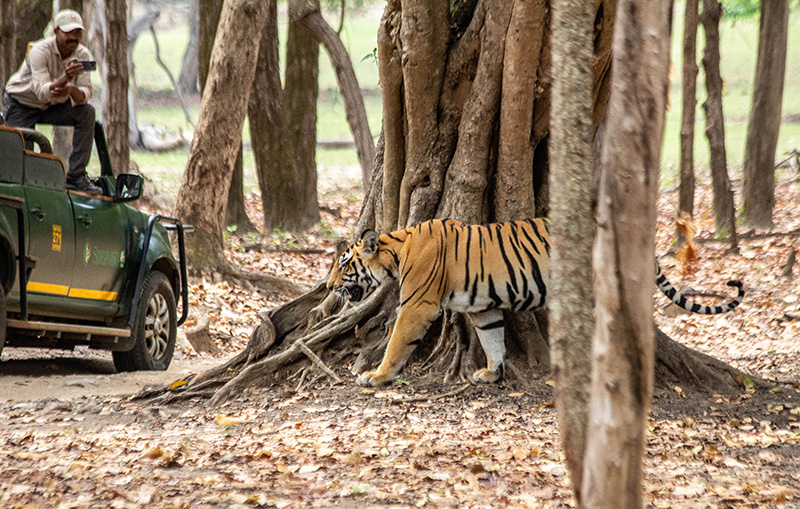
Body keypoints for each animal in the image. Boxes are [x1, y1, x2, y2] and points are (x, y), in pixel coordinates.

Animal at [328, 216, 748, 386]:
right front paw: (491, 373)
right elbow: (493, 341)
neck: (397, 251)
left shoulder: (417, 305)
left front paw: (377, 376)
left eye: (344, 264)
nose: (330, 287)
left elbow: (397, 342)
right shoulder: (484, 308)